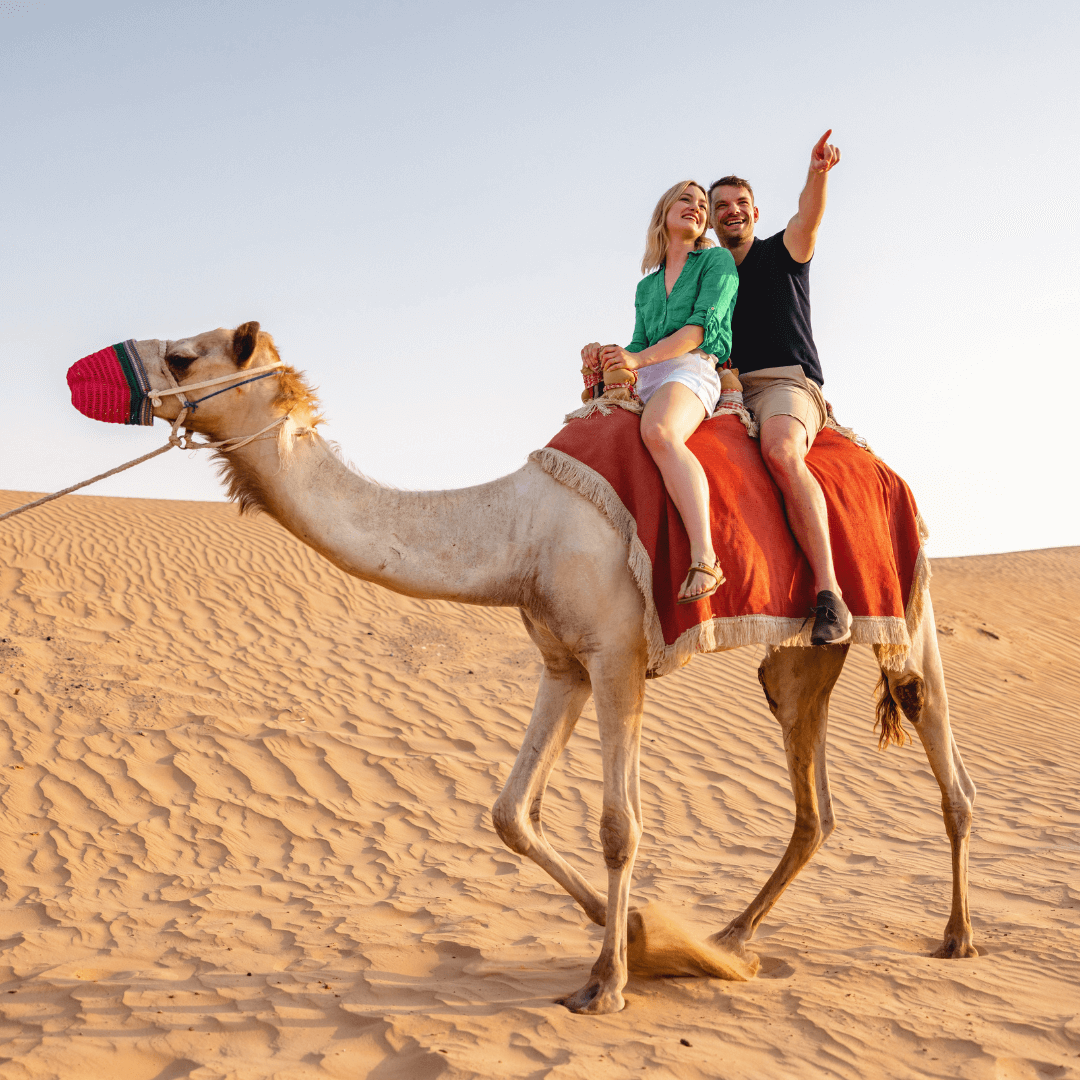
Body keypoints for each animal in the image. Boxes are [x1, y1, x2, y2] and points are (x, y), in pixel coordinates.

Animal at [137, 319, 980, 1010]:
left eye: (183, 355)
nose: (134, 381)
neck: (521, 530)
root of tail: (884, 468)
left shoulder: (617, 655)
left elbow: (618, 826)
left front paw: (607, 980)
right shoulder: (563, 663)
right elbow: (511, 813)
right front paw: (638, 934)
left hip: (907, 596)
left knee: (939, 743)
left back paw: (958, 935)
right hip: (801, 657)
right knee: (813, 799)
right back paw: (731, 941)